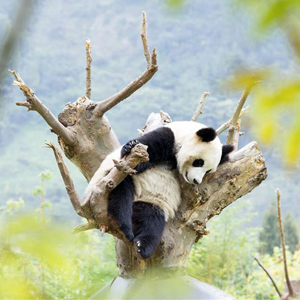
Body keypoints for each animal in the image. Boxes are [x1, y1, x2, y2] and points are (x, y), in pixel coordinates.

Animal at [85, 120, 233, 258]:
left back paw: (143, 246)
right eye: (199, 162)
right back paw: (123, 225)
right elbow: (139, 160)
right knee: (121, 191)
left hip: (152, 203)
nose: (196, 180)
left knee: (152, 220)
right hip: (108, 182)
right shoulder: (168, 137)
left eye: (208, 171)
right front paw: (129, 146)